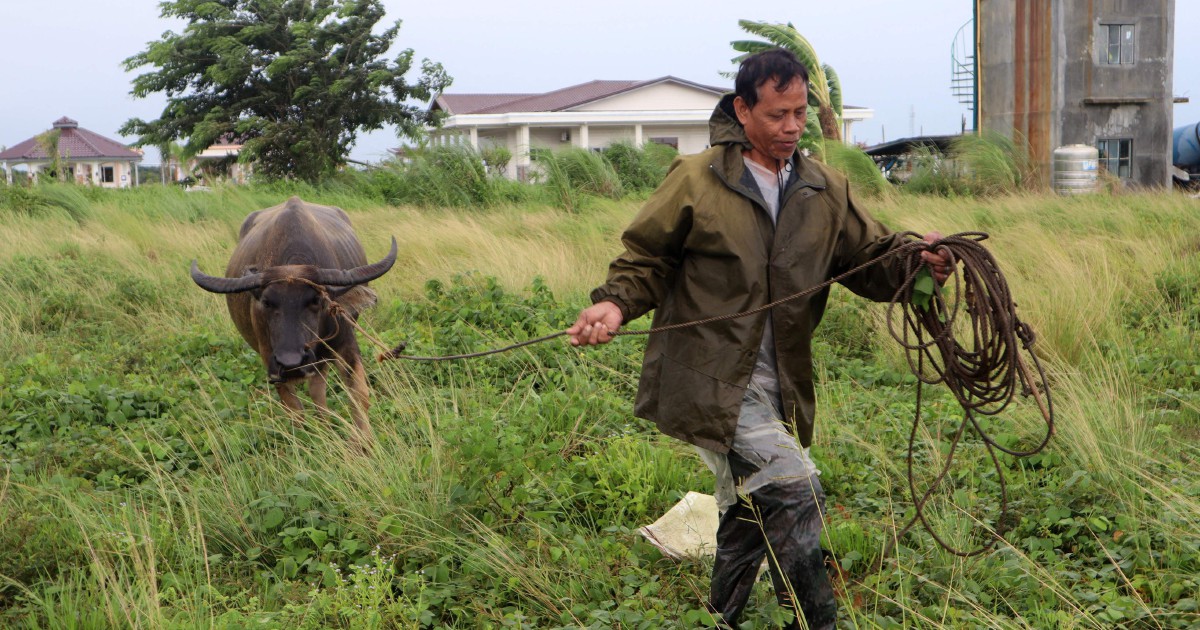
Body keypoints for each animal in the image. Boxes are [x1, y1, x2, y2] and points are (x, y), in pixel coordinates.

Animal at [187, 196, 393, 446]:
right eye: (267, 302)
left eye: (316, 300)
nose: (292, 363)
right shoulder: (271, 361)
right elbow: (295, 410)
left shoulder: (345, 342)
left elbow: (359, 393)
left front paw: (362, 444)